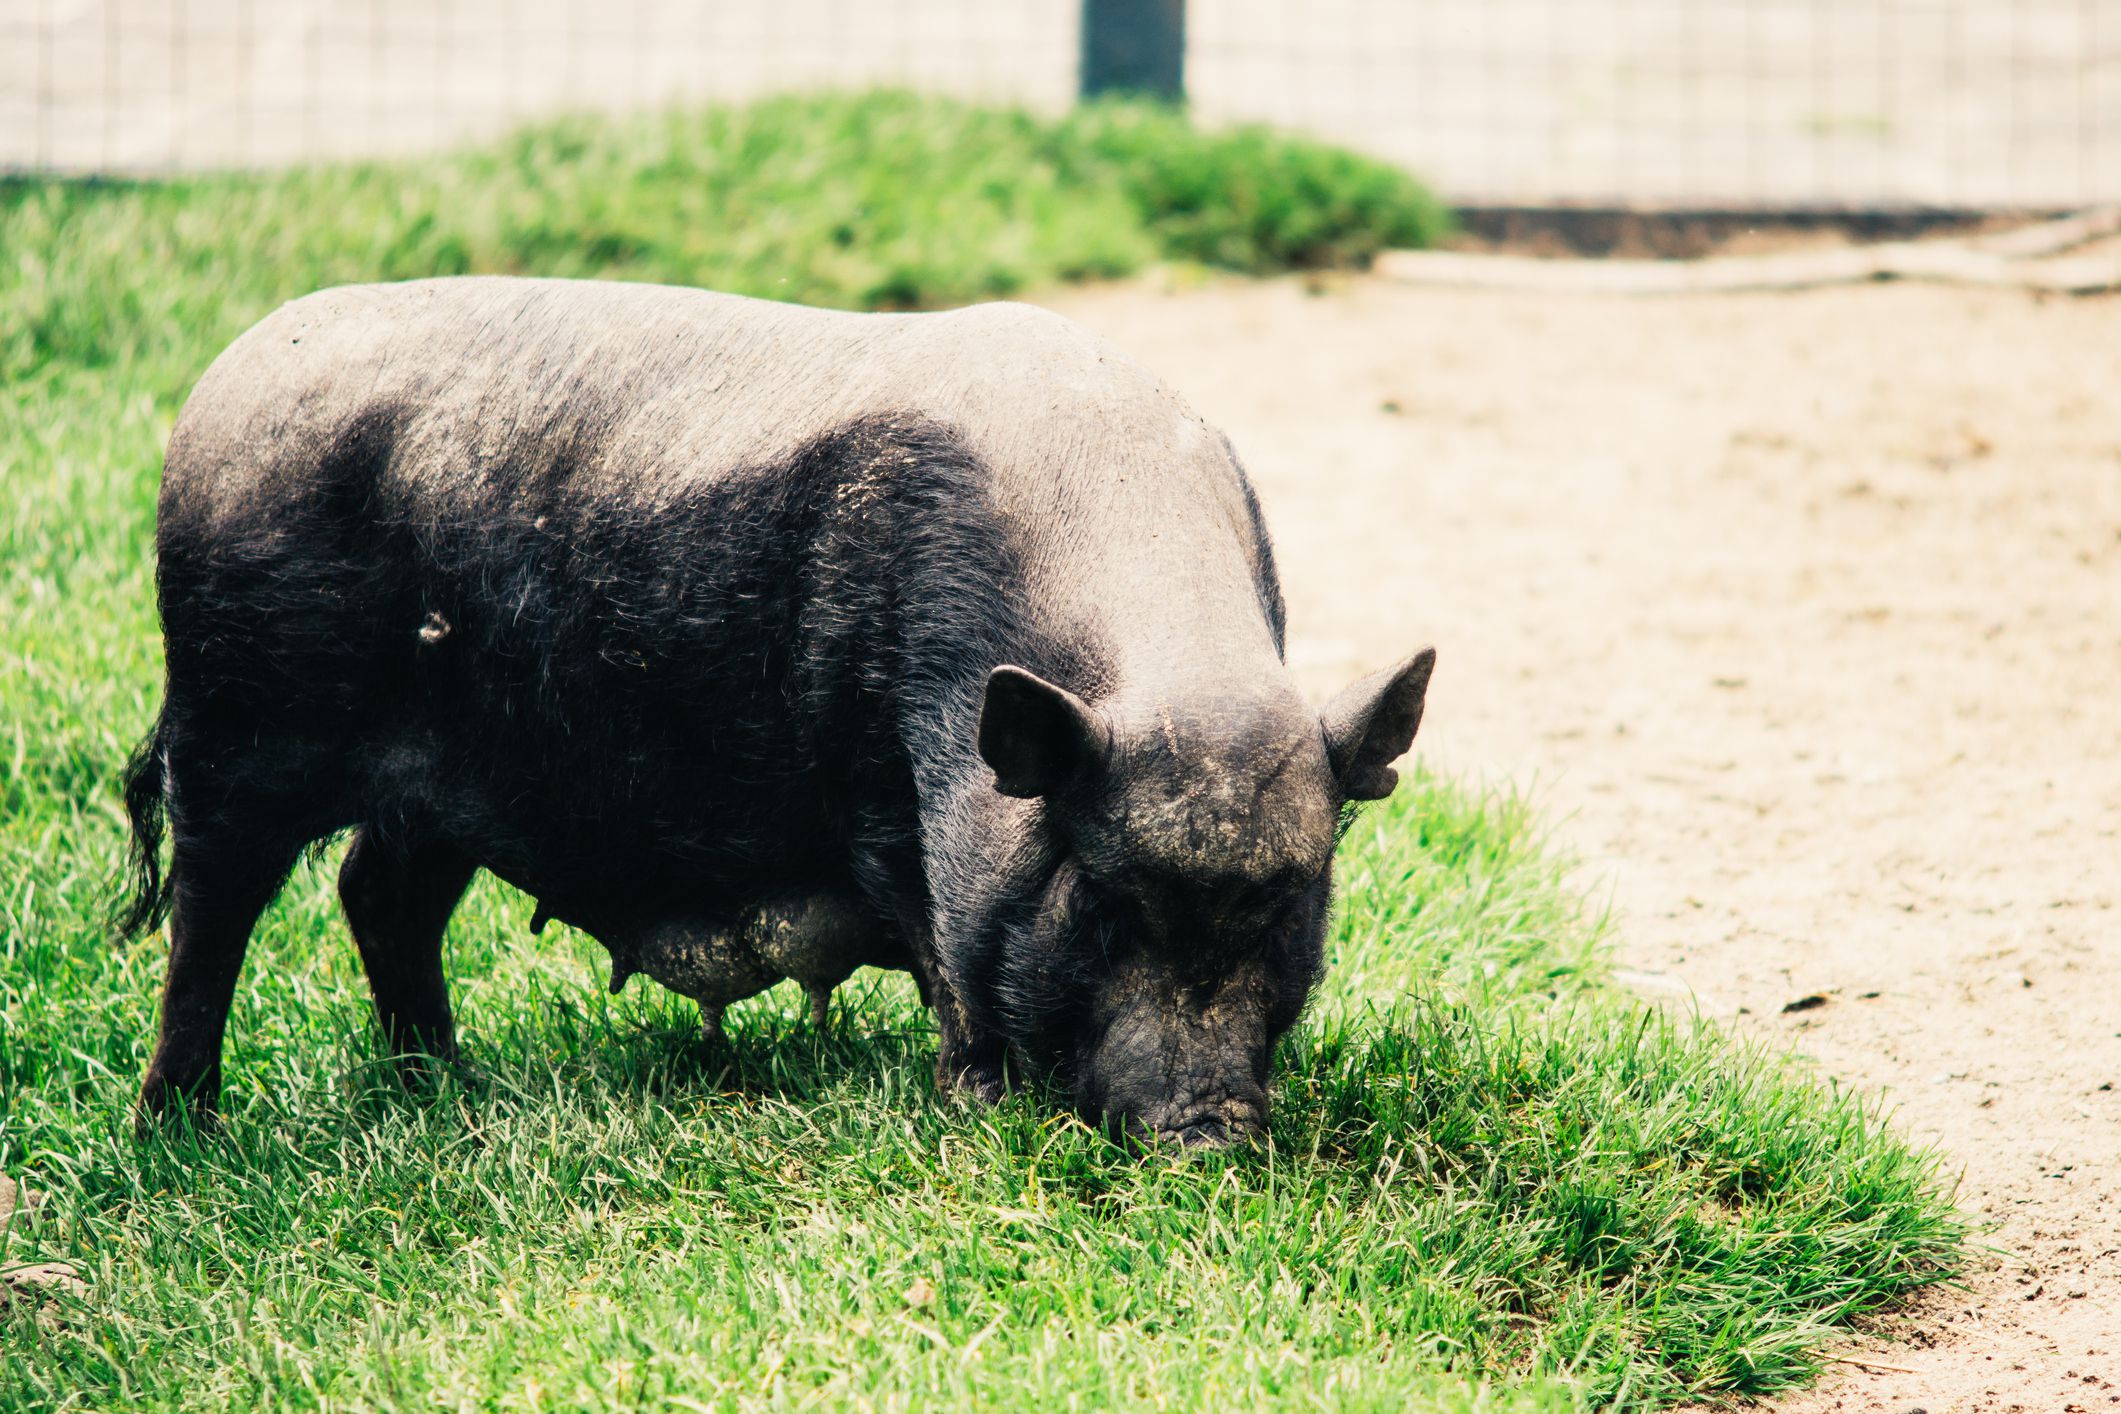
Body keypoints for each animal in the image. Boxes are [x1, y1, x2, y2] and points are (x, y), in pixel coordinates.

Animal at [120, 279, 1442, 1153]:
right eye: (1102, 896)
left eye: (1290, 903)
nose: (1207, 1131)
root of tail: (215, 392)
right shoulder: (884, 799)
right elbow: (939, 945)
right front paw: (975, 1107)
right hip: (241, 722)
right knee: (212, 905)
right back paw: (180, 1130)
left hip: (442, 787)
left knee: (378, 895)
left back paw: (450, 1088)